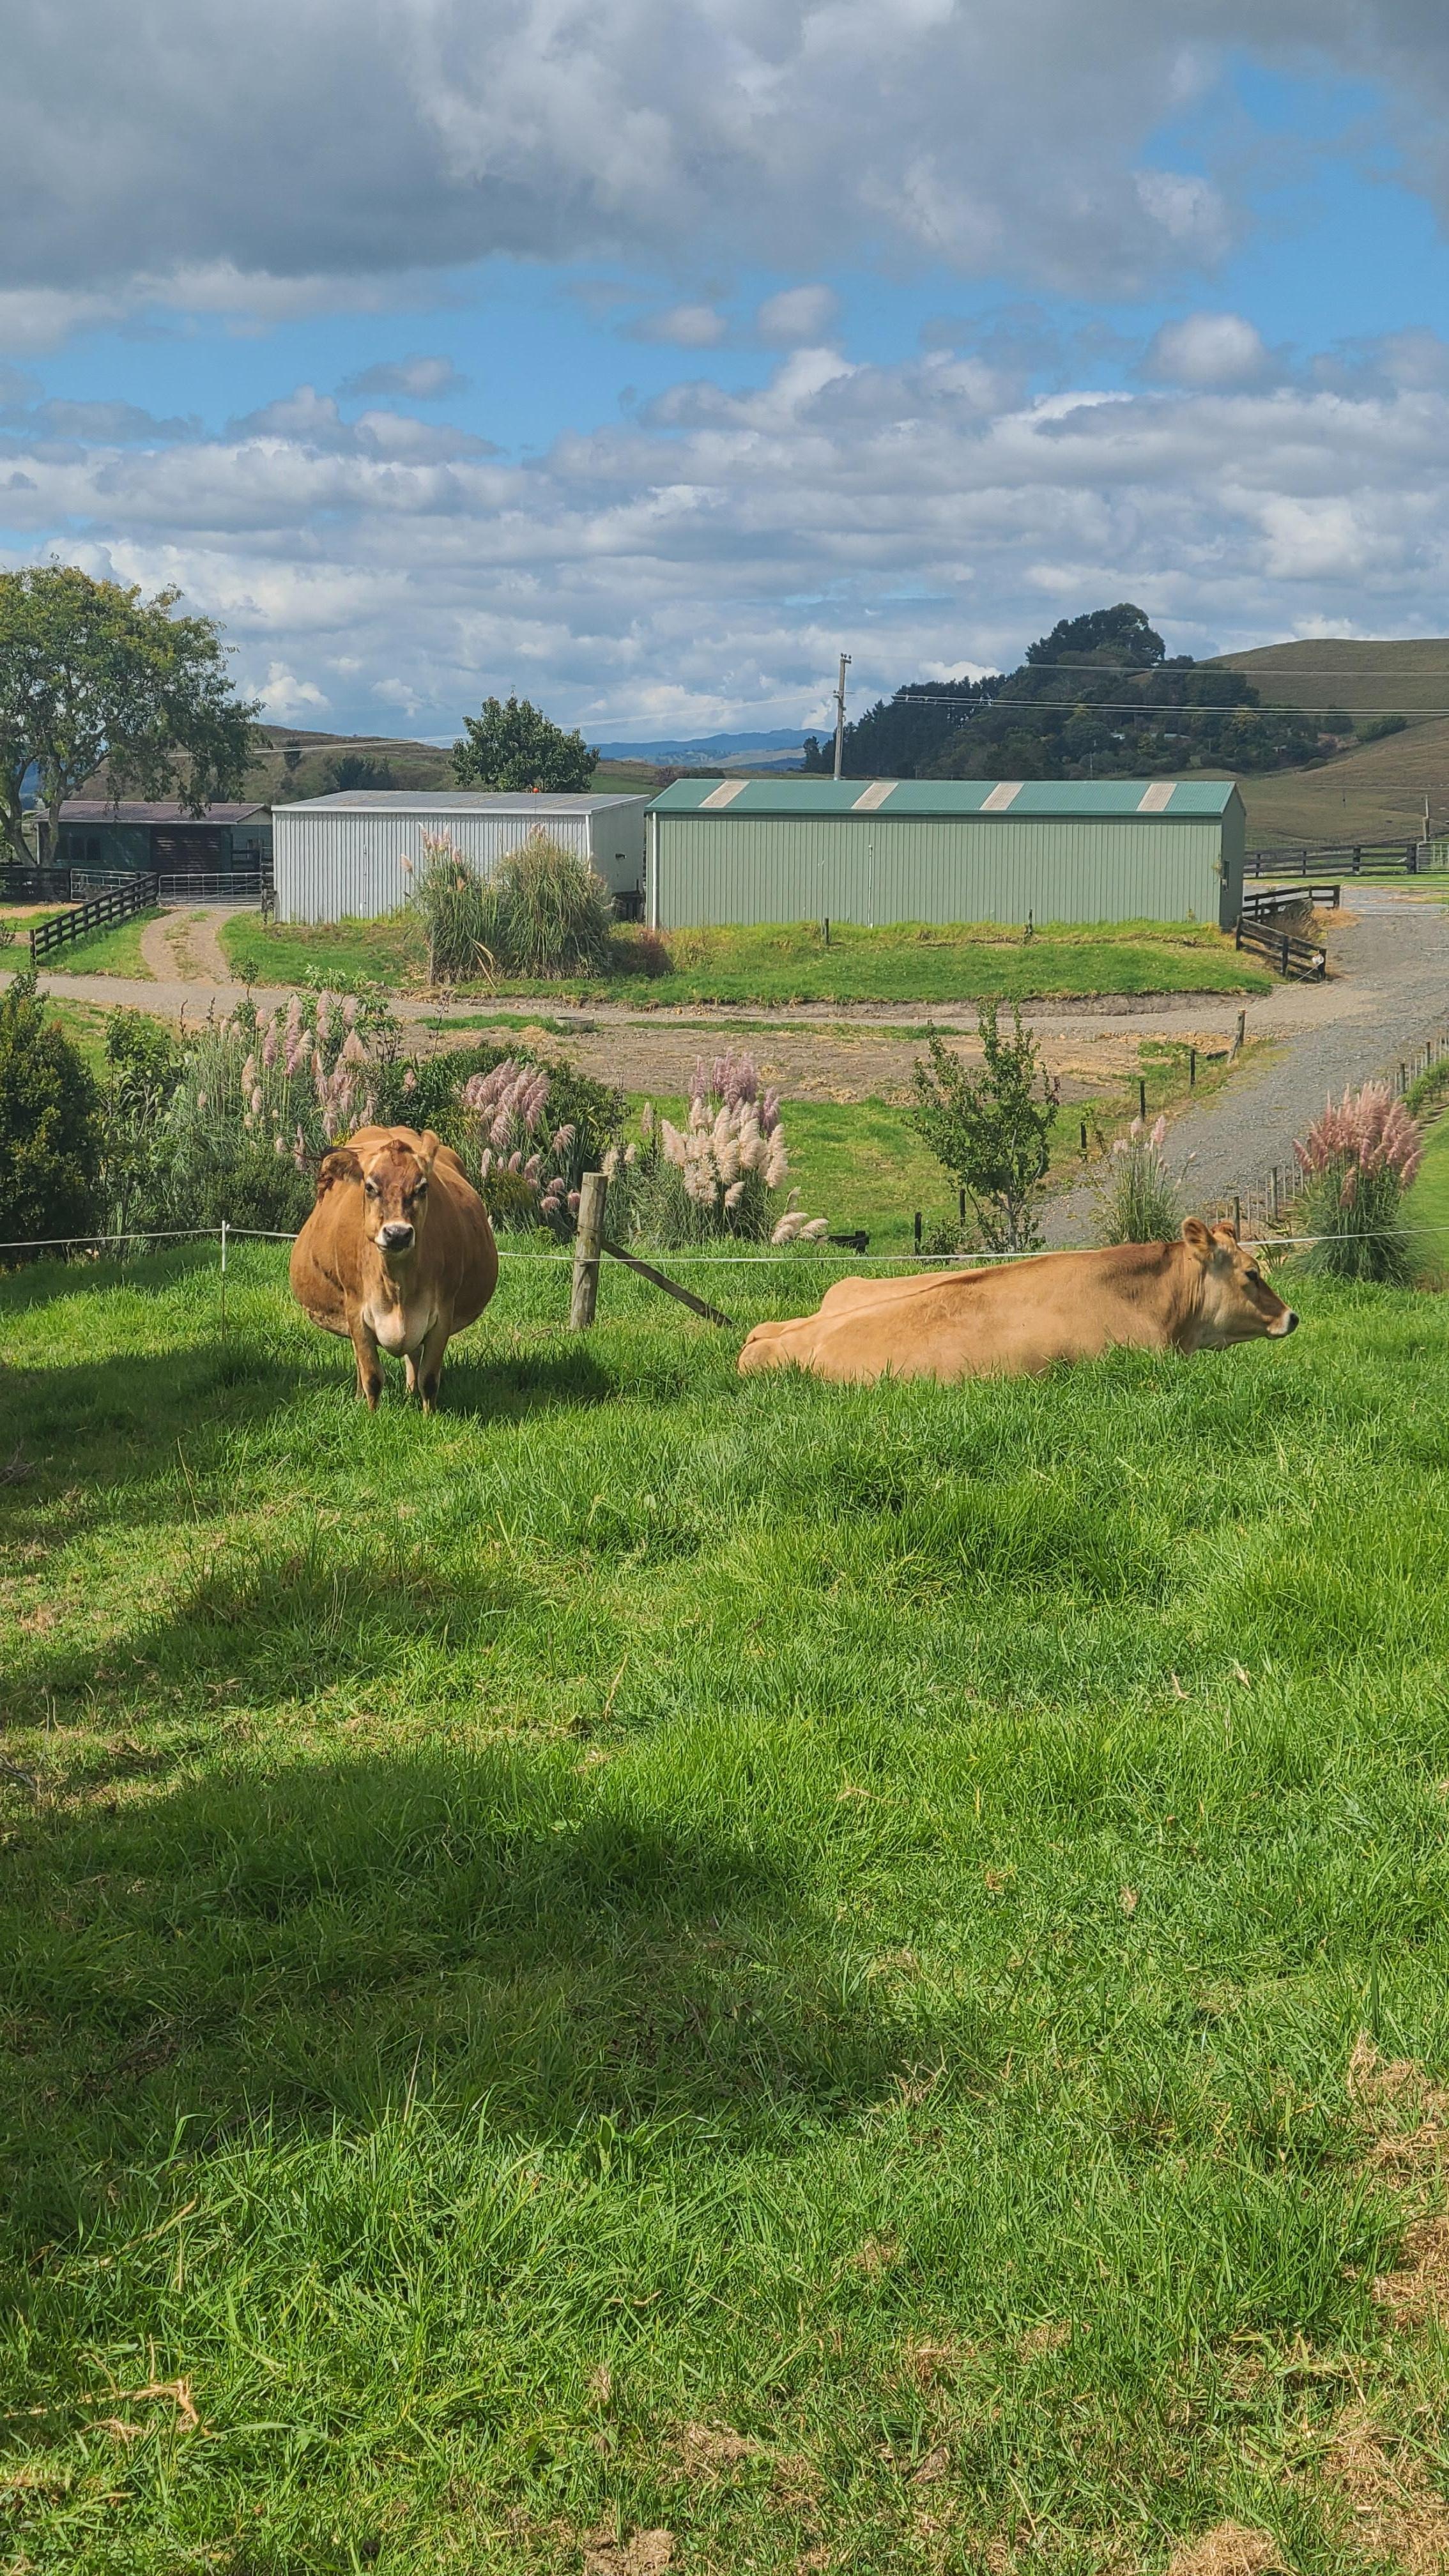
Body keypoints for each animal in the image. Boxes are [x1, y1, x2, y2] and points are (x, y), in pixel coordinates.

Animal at [289, 1124, 498, 1410]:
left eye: (423, 1187)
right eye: (370, 1187)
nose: (397, 1234)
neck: (397, 1283)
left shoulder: (443, 1313)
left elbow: (429, 1379)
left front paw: (428, 1414)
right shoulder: (356, 1312)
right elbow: (372, 1376)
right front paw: (371, 1413)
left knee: (414, 1354)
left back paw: (410, 1392)